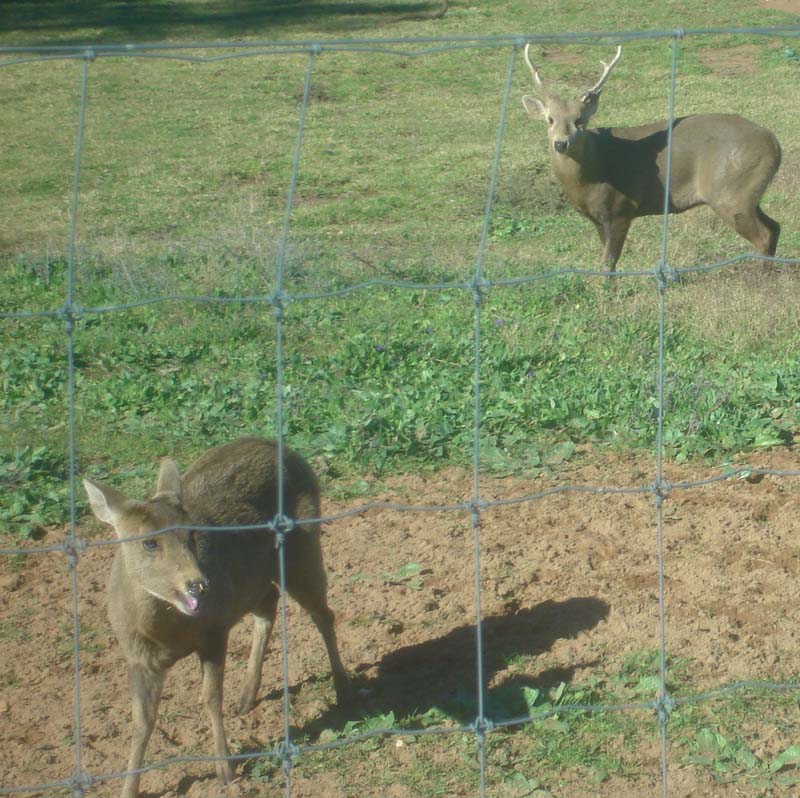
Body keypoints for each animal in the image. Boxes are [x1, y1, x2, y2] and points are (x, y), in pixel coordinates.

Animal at [83, 436, 351, 798]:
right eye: (149, 543)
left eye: (191, 536)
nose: (198, 584)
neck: (166, 633)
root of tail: (281, 447)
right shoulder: (138, 656)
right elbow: (141, 721)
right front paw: (128, 788)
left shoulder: (214, 630)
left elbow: (210, 697)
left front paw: (225, 769)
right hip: (251, 580)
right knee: (271, 601)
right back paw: (248, 694)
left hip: (302, 547)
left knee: (322, 613)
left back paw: (342, 688)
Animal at [521, 44, 782, 273]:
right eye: (550, 119)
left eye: (580, 121)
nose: (560, 143)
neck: (591, 177)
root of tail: (773, 141)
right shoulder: (598, 218)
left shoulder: (622, 208)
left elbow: (609, 263)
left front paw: (607, 293)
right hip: (746, 192)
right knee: (775, 226)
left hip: (731, 192)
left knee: (763, 235)